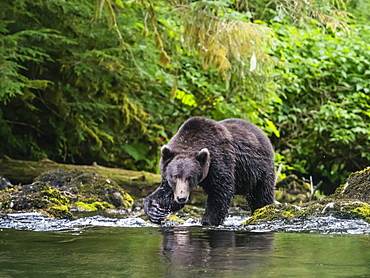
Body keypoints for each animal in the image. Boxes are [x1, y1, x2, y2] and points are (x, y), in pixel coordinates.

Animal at [143, 116, 276, 225]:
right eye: (175, 176)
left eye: (190, 177)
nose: (182, 197)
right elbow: (166, 193)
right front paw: (154, 210)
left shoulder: (220, 162)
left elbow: (220, 193)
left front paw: (208, 221)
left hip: (259, 170)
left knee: (262, 195)